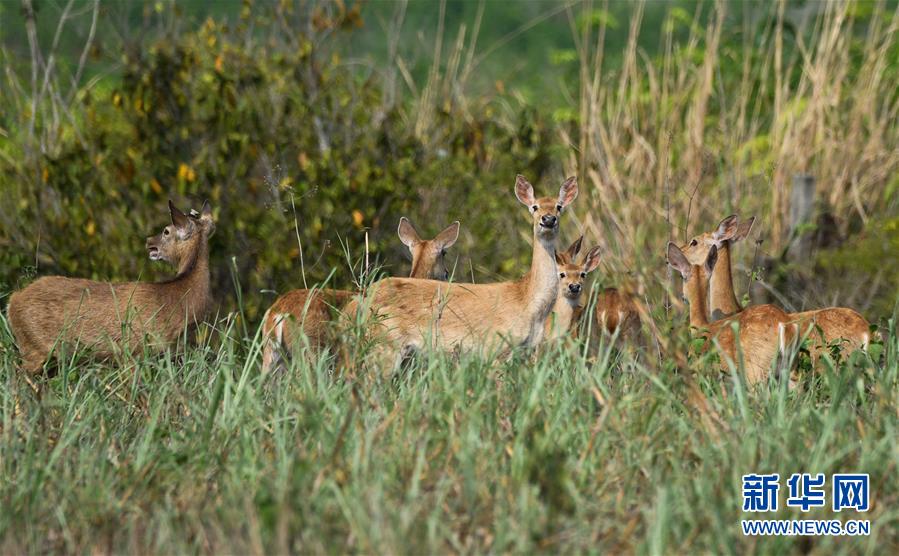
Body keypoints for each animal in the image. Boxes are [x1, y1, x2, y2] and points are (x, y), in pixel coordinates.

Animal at [9, 200, 216, 374]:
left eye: (166, 231)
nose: (149, 241)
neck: (175, 303)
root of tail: (13, 300)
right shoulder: (132, 350)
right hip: (34, 347)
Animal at [342, 174, 580, 364]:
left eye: (559, 206)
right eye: (534, 207)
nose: (548, 219)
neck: (528, 301)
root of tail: (349, 310)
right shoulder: (496, 347)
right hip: (386, 343)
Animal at [664, 243, 800, 386]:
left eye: (682, 277)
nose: (683, 297)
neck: (700, 327)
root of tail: (783, 325)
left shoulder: (701, 371)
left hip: (755, 368)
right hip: (791, 368)